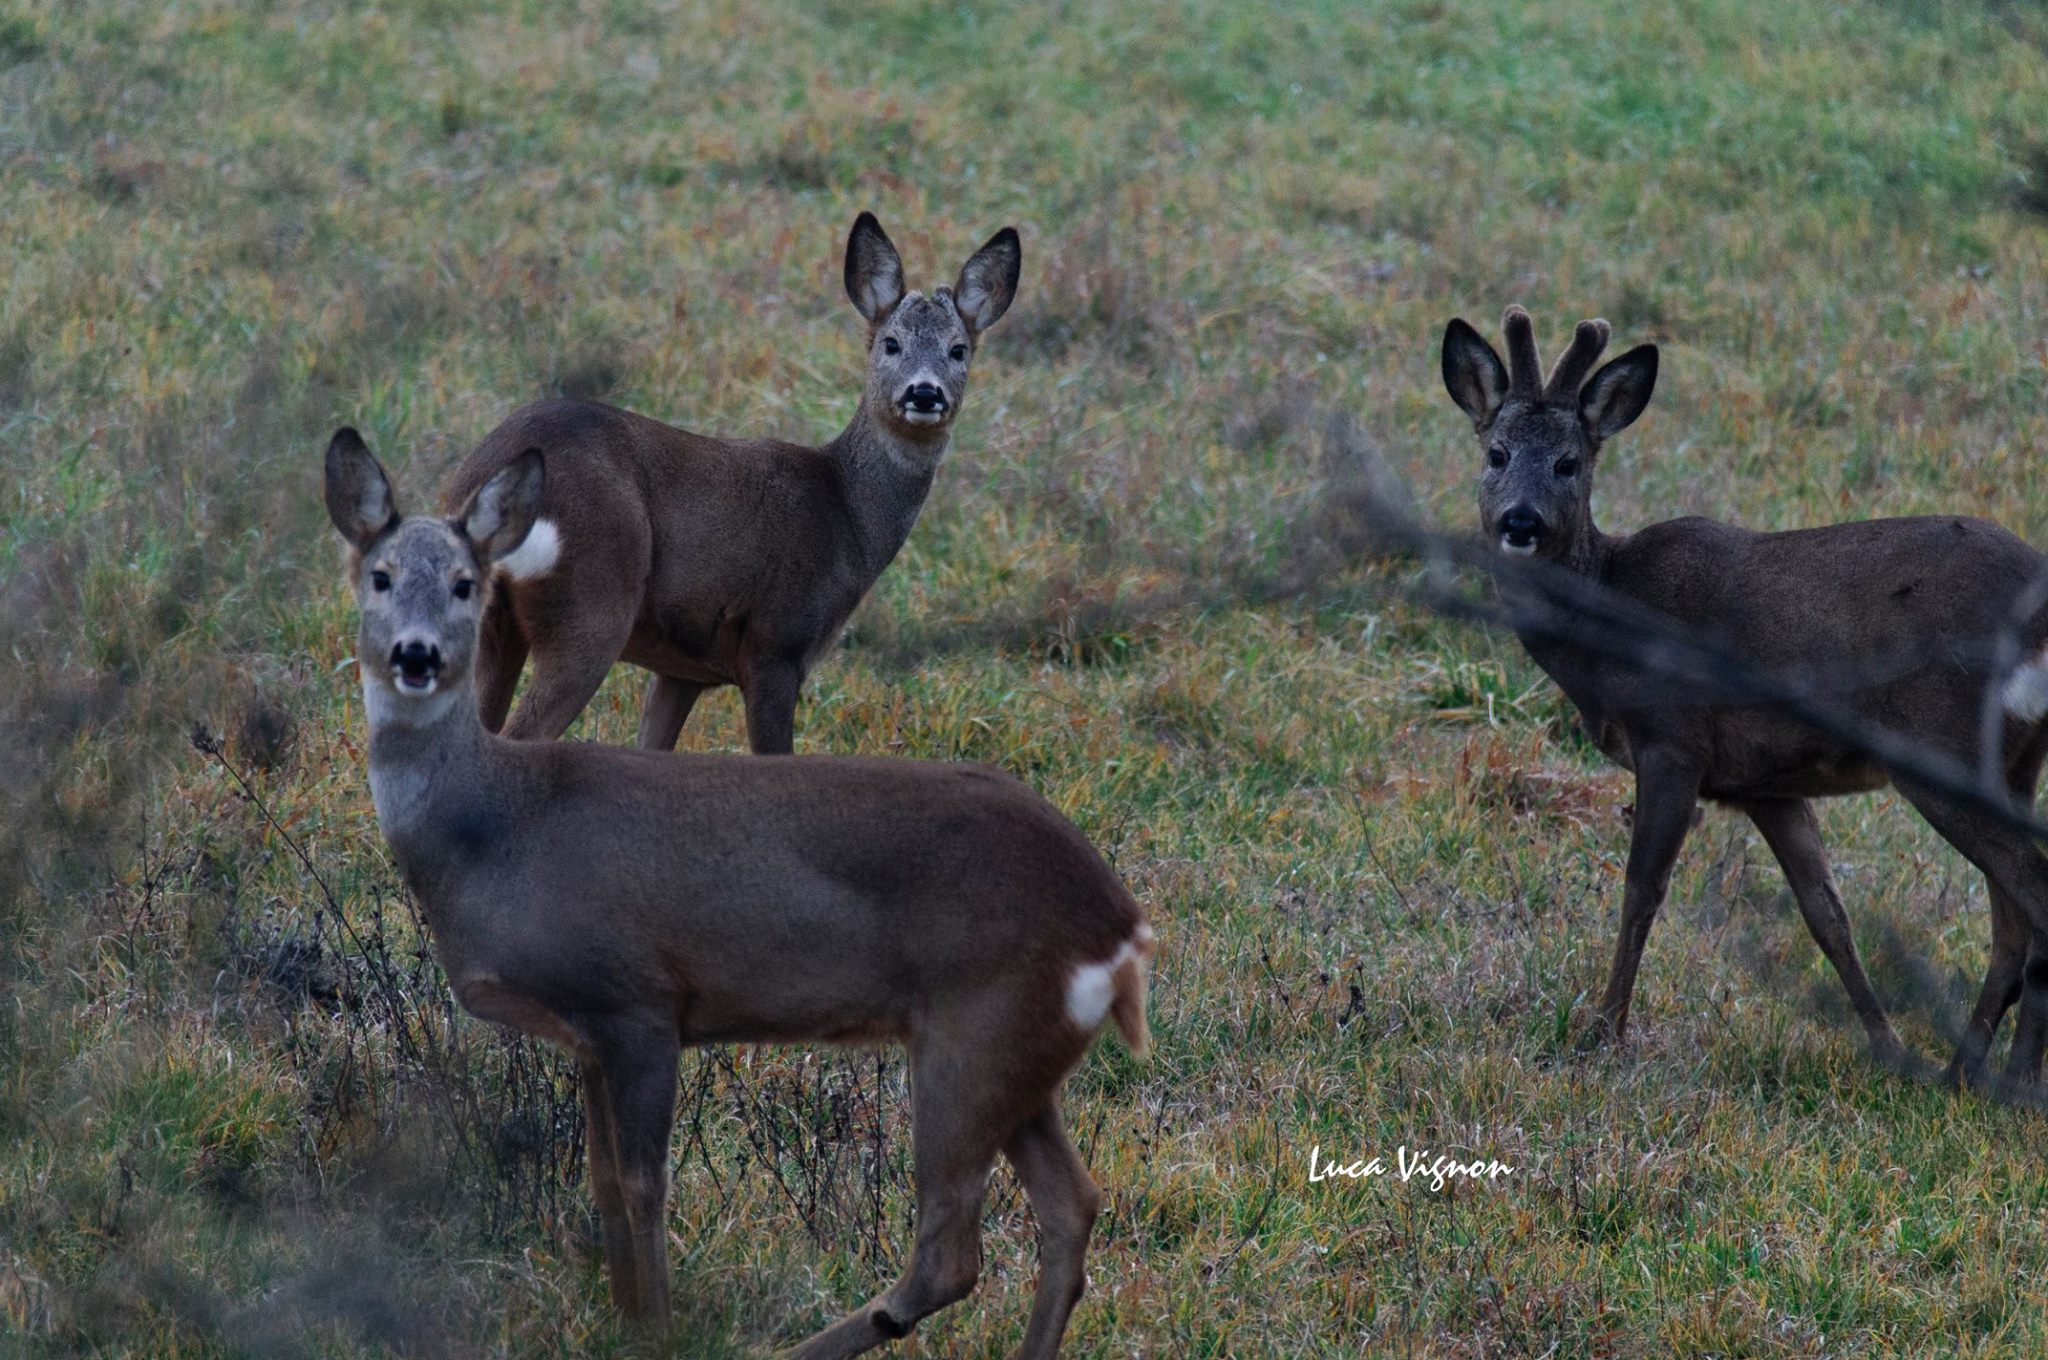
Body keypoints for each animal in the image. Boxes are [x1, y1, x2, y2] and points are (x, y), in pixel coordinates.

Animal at [323, 427, 1153, 1357]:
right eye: (379, 575)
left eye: (467, 583)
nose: (417, 655)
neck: (496, 824)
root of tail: (1121, 925)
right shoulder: (587, 1033)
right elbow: (602, 1179)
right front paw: (624, 1319)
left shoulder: (640, 1000)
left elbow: (645, 1183)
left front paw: (657, 1327)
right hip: (1019, 1050)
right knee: (1071, 1206)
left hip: (973, 1032)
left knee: (953, 1247)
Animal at [440, 212, 1021, 754]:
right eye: (891, 343)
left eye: (959, 349)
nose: (924, 393)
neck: (847, 515)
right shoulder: (776, 643)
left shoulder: (683, 668)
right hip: (592, 605)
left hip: (493, 630)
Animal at [1439, 305, 2048, 1089]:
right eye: (1497, 452)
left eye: (1568, 463)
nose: (1521, 521)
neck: (1607, 627)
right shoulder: (1767, 784)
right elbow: (1827, 914)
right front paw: (1887, 1048)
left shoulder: (1673, 740)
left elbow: (1642, 889)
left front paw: (1602, 1034)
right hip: (2013, 764)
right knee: (2012, 917)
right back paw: (1966, 1072)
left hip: (1942, 744)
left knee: (2032, 895)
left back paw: (2008, 1081)